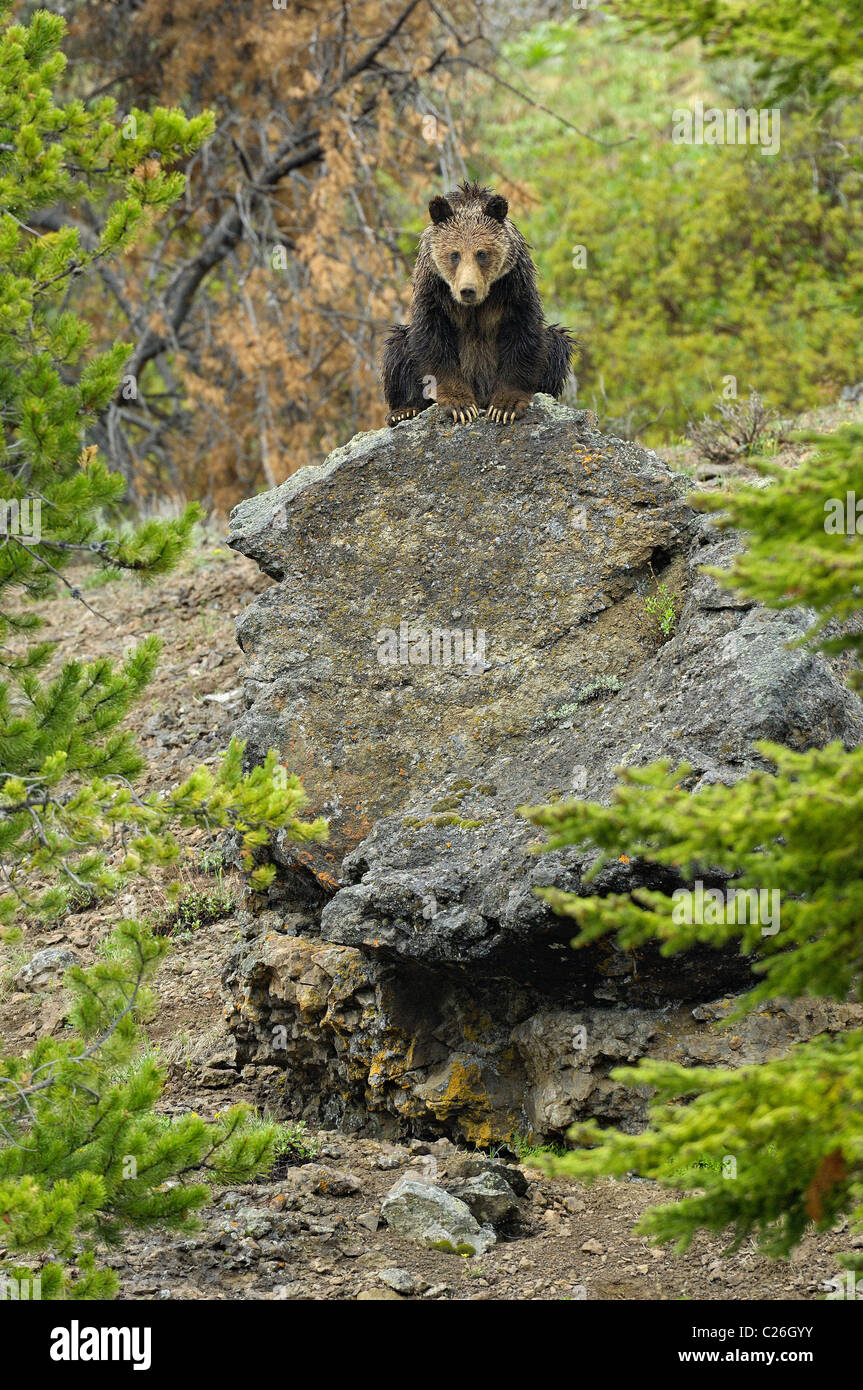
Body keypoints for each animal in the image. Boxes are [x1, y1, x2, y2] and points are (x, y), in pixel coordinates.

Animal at [380, 182, 572, 425]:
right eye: (455, 254)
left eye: (482, 253)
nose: (467, 290)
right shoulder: (434, 291)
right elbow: (433, 342)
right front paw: (460, 405)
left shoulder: (513, 287)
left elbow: (522, 337)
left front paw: (505, 407)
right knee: (397, 350)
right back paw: (404, 410)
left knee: (557, 343)